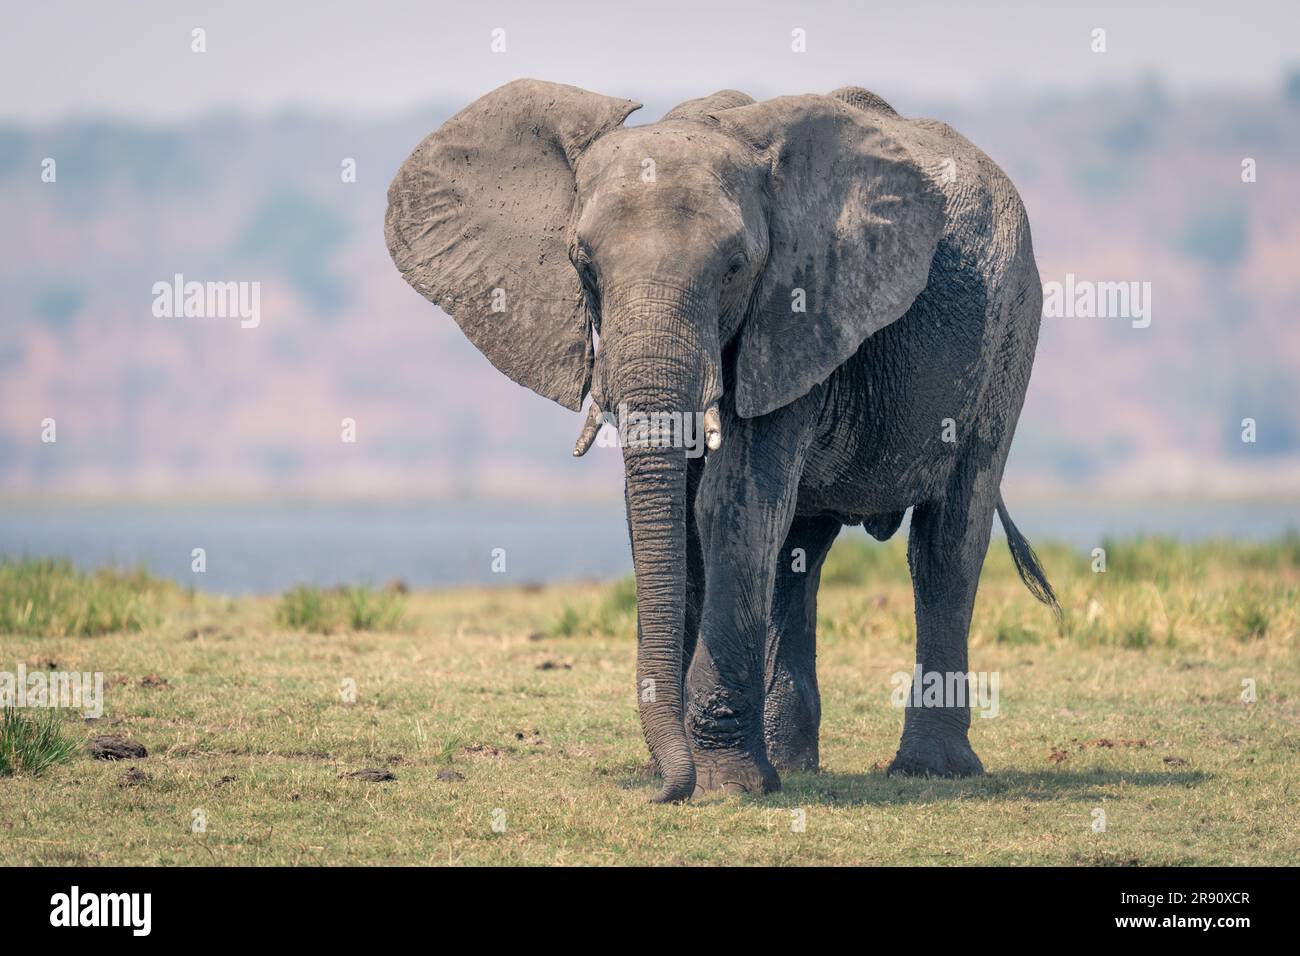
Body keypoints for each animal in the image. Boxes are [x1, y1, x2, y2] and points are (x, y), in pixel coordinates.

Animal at [386, 79, 1057, 803]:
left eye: (736, 268)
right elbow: (675, 516)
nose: (657, 791)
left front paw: (722, 787)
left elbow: (727, 505)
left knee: (946, 539)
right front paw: (700, 776)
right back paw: (792, 766)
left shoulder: (795, 308)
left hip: (1010, 329)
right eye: (583, 267)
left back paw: (928, 770)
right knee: (797, 550)